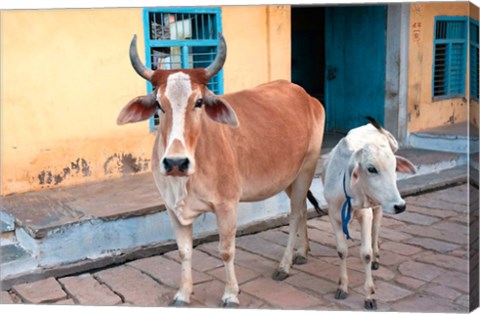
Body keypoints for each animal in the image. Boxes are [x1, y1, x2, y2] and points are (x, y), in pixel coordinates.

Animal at [117, 33, 326, 306]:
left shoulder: (227, 205)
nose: (175, 163)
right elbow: (184, 251)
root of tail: (306, 96)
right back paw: (303, 252)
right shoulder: (172, 208)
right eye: (159, 105)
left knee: (292, 216)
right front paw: (183, 293)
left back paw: (285, 265)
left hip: (307, 169)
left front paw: (231, 294)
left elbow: (226, 251)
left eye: (199, 102)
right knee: (301, 209)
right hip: (290, 177)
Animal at [322, 118, 416, 310]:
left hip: (378, 207)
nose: (400, 206)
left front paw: (369, 295)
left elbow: (365, 253)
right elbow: (342, 251)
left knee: (375, 231)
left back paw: (376, 257)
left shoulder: (365, 214)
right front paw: (342, 286)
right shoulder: (333, 216)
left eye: (394, 168)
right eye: (371, 169)